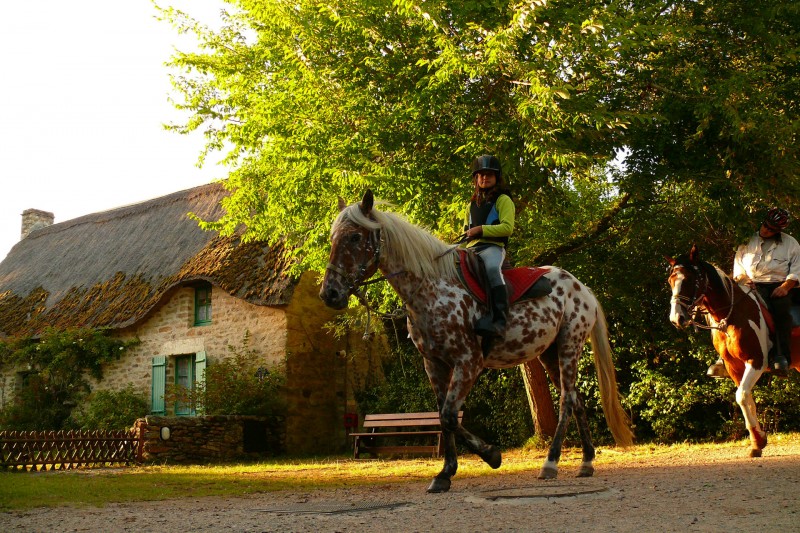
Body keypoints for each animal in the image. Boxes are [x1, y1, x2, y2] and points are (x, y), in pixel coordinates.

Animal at [318, 190, 632, 490]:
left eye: (355, 236)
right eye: (333, 238)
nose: (329, 294)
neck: (430, 289)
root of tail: (583, 288)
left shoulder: (469, 362)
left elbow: (448, 415)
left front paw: (491, 455)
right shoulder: (434, 365)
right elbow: (443, 417)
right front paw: (446, 473)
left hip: (569, 345)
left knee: (567, 400)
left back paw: (551, 463)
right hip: (549, 354)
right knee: (576, 399)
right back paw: (587, 461)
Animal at [668, 245, 800, 458]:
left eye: (689, 279)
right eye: (670, 280)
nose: (676, 318)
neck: (733, 315)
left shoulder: (755, 362)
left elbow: (742, 396)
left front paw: (758, 439)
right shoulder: (734, 367)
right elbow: (746, 398)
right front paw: (757, 442)